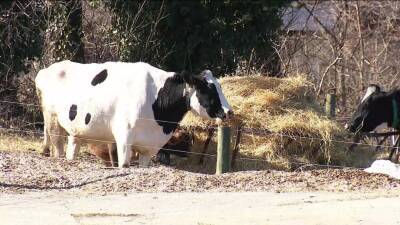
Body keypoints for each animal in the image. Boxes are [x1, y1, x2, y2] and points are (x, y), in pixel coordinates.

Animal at [36, 60, 234, 168]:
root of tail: (45, 70)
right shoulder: (124, 139)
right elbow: (123, 165)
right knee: (58, 149)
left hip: (76, 132)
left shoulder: (149, 148)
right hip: (53, 122)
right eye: (207, 89)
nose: (229, 112)